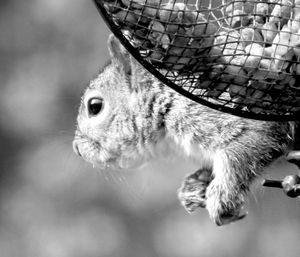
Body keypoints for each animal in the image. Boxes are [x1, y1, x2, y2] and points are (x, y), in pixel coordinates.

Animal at [73, 33, 296, 224]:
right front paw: (192, 188)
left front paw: (222, 196)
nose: (77, 149)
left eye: (95, 106)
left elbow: (245, 149)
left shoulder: (231, 118)